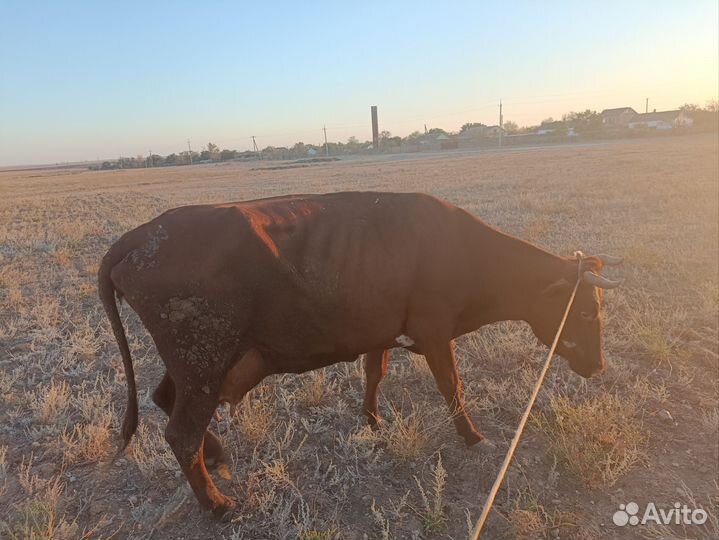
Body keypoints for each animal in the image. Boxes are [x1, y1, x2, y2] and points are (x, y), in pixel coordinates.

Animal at [98, 191, 621, 515]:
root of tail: (138, 237)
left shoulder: (381, 333)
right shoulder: (435, 333)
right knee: (180, 434)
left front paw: (371, 419)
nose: (598, 366)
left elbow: (375, 373)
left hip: (194, 368)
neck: (462, 249)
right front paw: (472, 436)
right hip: (203, 364)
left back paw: (218, 454)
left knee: (164, 402)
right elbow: (452, 386)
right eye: (587, 311)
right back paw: (218, 506)